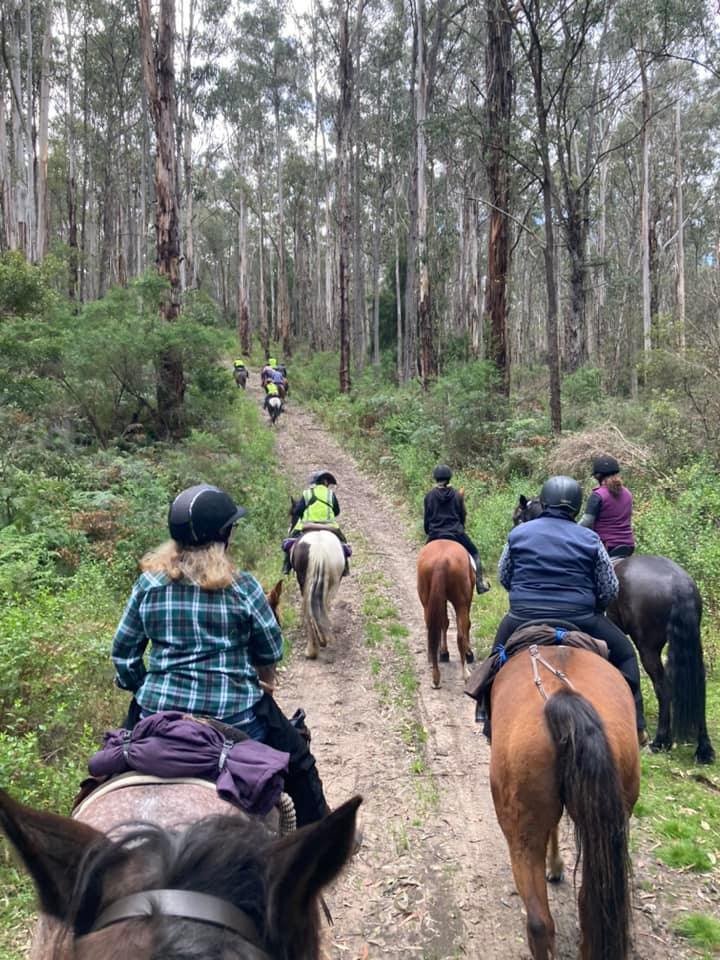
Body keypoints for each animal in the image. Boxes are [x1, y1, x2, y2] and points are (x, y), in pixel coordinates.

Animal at [289, 520, 345, 659]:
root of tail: (318, 551)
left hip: (306, 583)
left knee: (310, 610)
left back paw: (312, 650)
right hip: (333, 582)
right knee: (324, 606)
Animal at [416, 539, 475, 688]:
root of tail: (441, 561)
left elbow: (444, 623)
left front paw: (443, 652)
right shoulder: (466, 602)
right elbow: (466, 625)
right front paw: (468, 652)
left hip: (427, 602)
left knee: (432, 629)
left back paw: (435, 675)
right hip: (461, 603)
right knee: (460, 635)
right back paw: (466, 673)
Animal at [513, 495, 715, 763]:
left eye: (518, 517)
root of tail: (679, 583)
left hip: (648, 646)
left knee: (663, 686)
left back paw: (661, 740)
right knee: (696, 684)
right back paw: (703, 749)